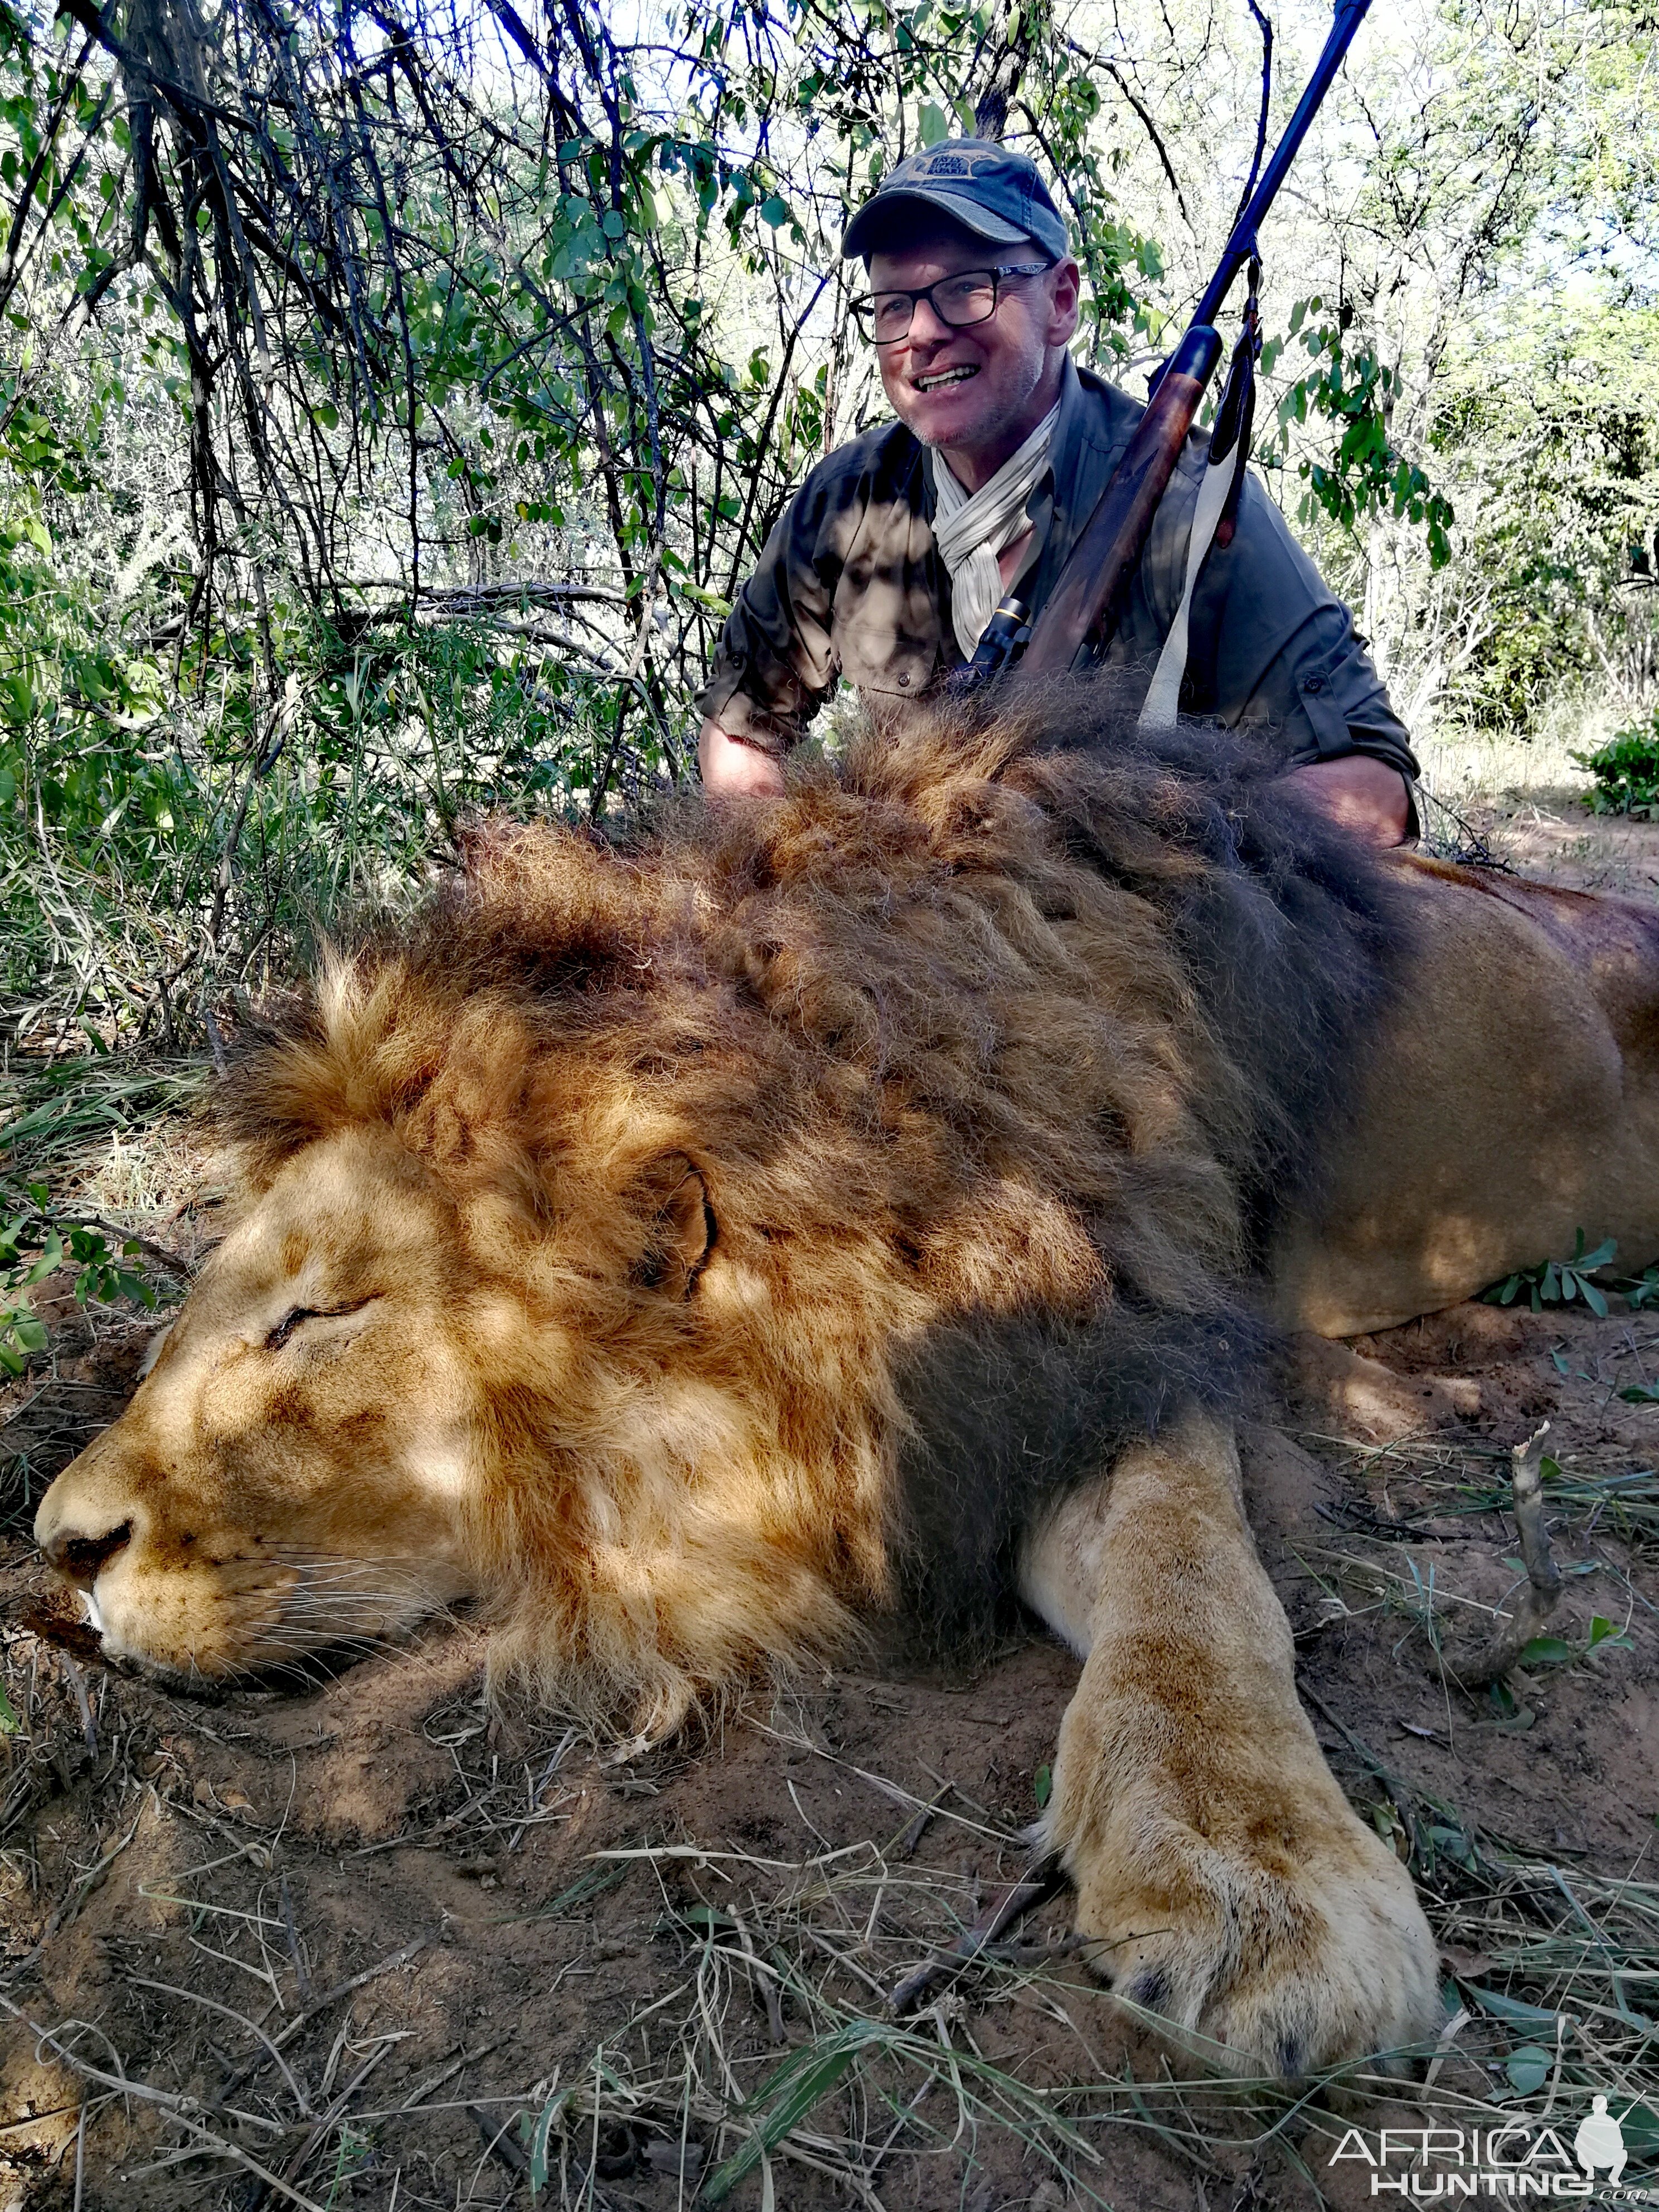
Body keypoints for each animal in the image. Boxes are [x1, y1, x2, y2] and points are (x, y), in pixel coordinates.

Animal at [32, 686, 1659, 2070]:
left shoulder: (1101, 1334)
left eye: (316, 1316)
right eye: (197, 1308)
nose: (58, 1547)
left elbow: (1194, 1582)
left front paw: (1259, 1872)